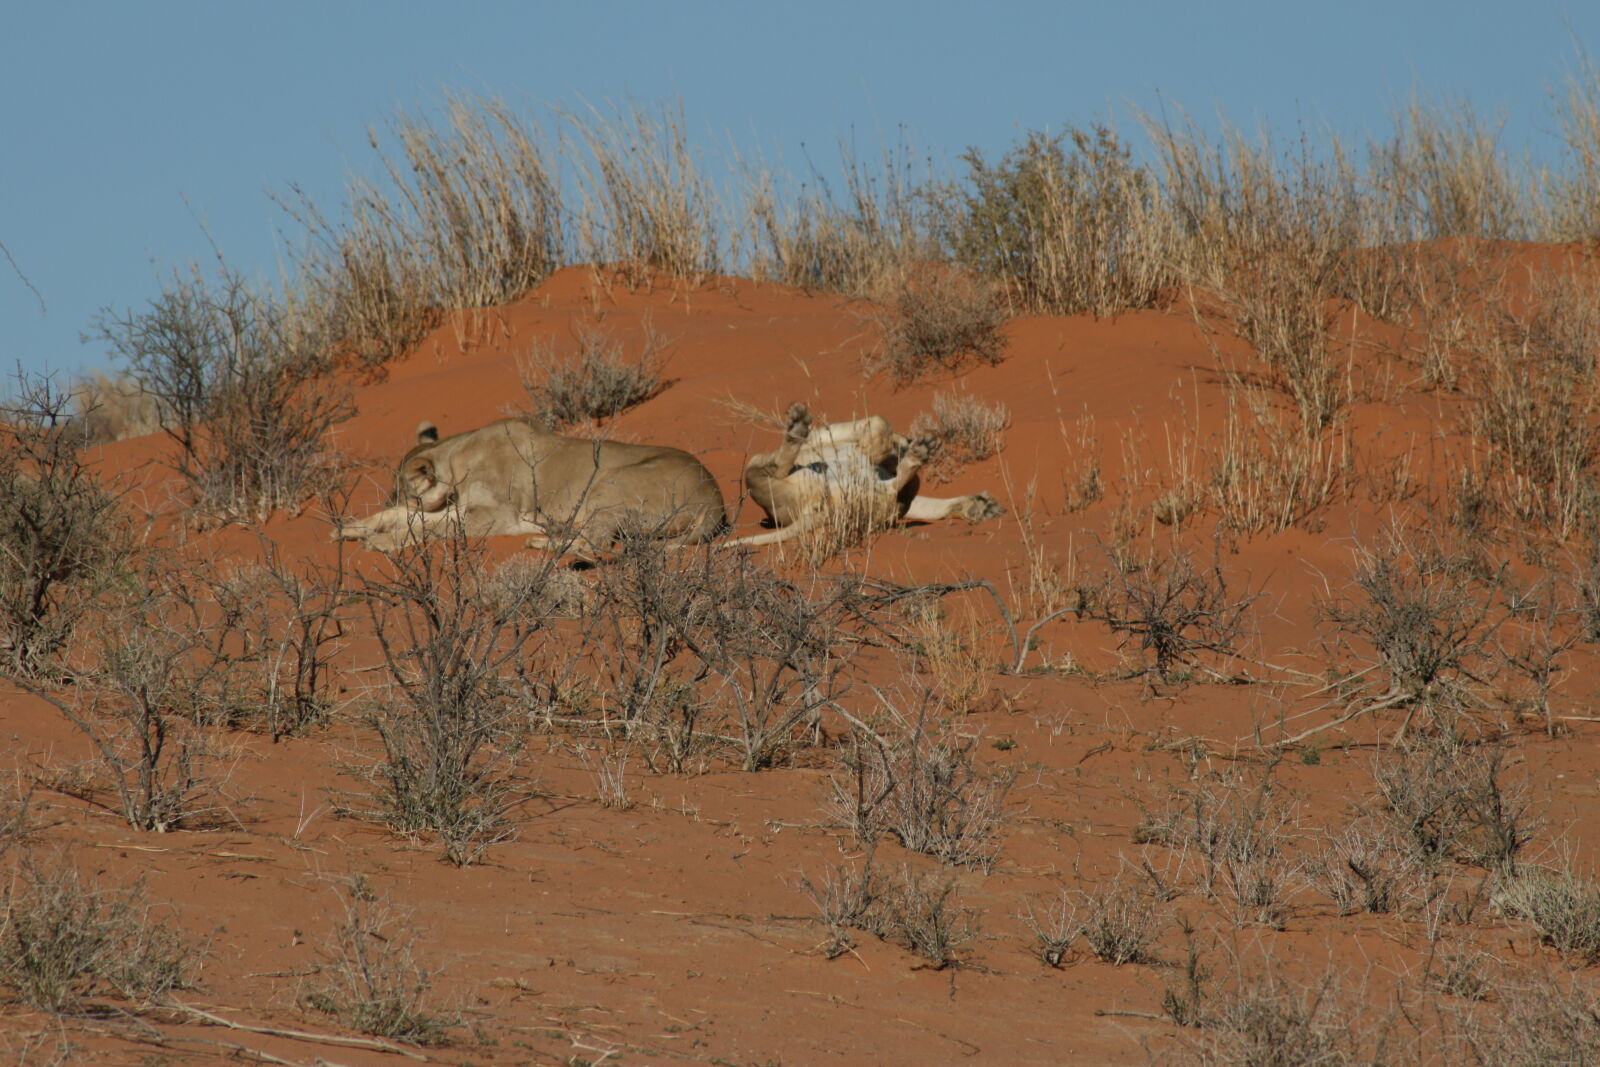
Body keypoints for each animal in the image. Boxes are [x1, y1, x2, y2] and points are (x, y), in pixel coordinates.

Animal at [336, 417, 727, 552]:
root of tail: (715, 499)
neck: (457, 457)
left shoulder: (496, 518)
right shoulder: (463, 508)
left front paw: (382, 542)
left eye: (399, 488)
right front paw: (351, 529)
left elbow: (425, 528)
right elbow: (407, 518)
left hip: (610, 482)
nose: (389, 497)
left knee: (599, 543)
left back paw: (541, 542)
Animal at [733, 402, 1004, 547]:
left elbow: (878, 427)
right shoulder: (827, 435)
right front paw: (879, 447)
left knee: (897, 497)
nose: (907, 442)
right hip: (758, 470)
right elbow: (879, 422)